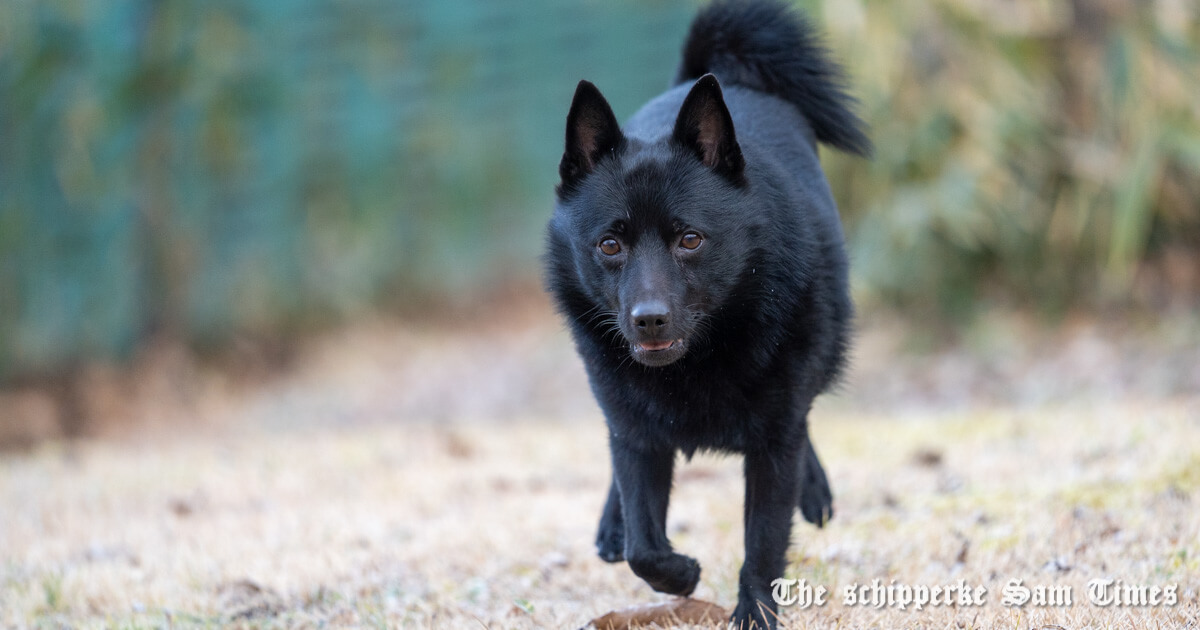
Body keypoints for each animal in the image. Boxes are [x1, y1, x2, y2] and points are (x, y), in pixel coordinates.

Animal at [547, 2, 873, 624]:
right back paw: (611, 524)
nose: (649, 319)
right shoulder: (638, 436)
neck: (702, 357)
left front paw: (755, 614)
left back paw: (815, 490)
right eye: (609, 244)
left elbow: (764, 539)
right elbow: (643, 546)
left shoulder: (774, 442)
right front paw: (681, 573)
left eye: (690, 239)